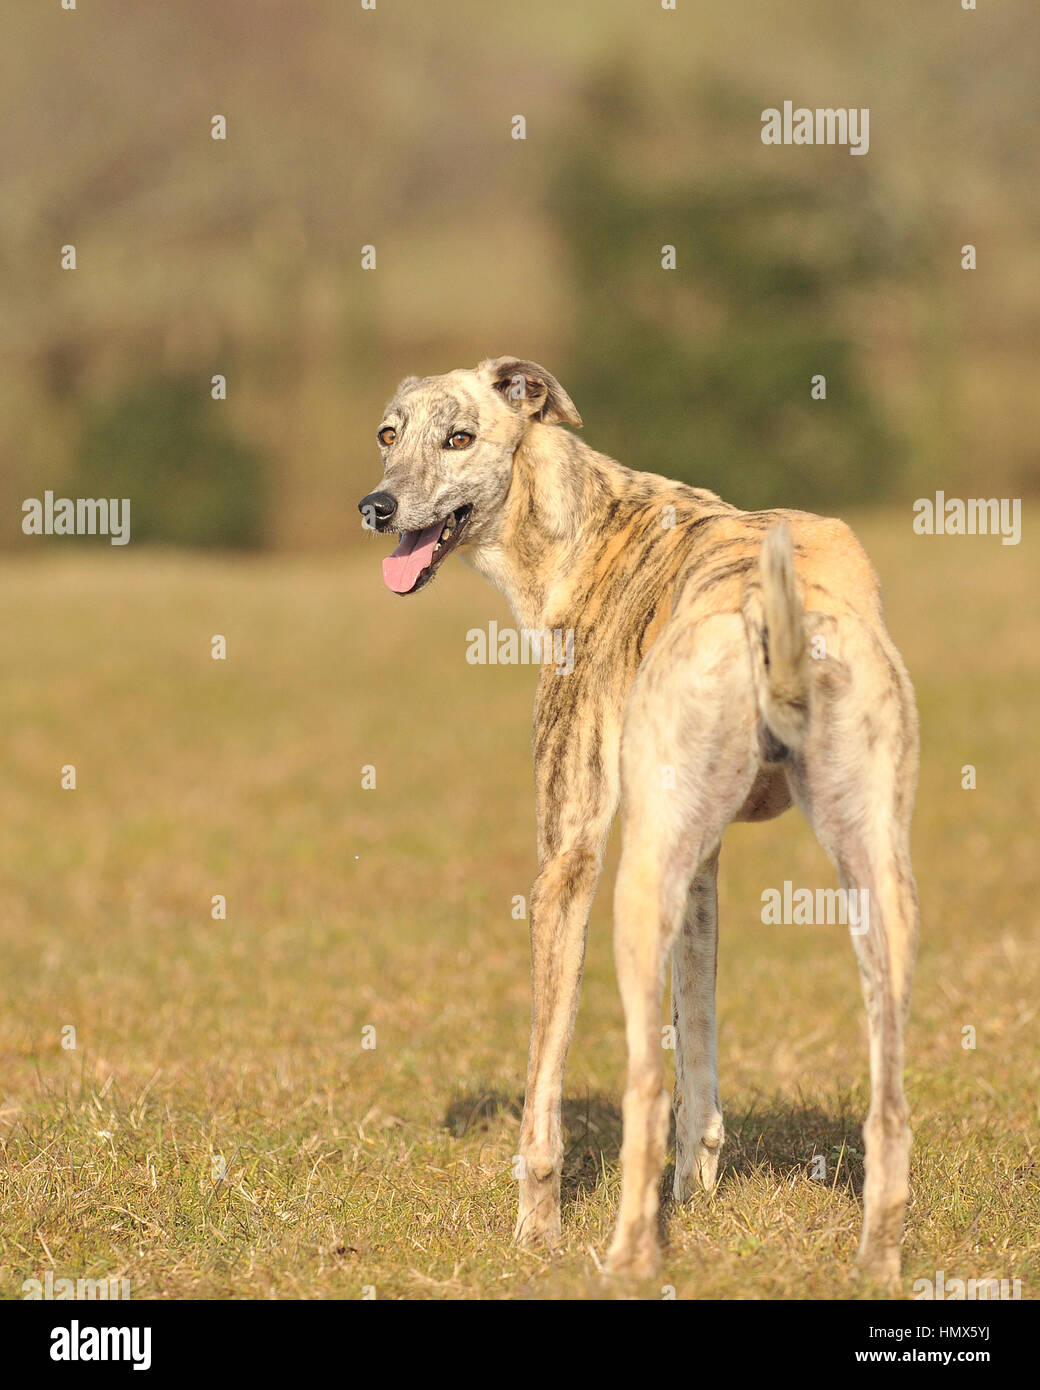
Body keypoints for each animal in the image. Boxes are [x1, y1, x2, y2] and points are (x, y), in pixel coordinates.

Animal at [358, 355, 917, 1278]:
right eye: (388, 434)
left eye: (460, 437)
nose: (376, 508)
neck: (581, 523)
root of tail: (771, 613)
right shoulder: (699, 866)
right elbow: (700, 1057)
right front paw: (695, 1198)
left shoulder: (569, 858)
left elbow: (553, 1087)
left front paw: (537, 1233)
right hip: (877, 890)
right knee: (889, 1105)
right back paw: (875, 1263)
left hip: (630, 891)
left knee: (644, 1089)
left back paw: (623, 1261)